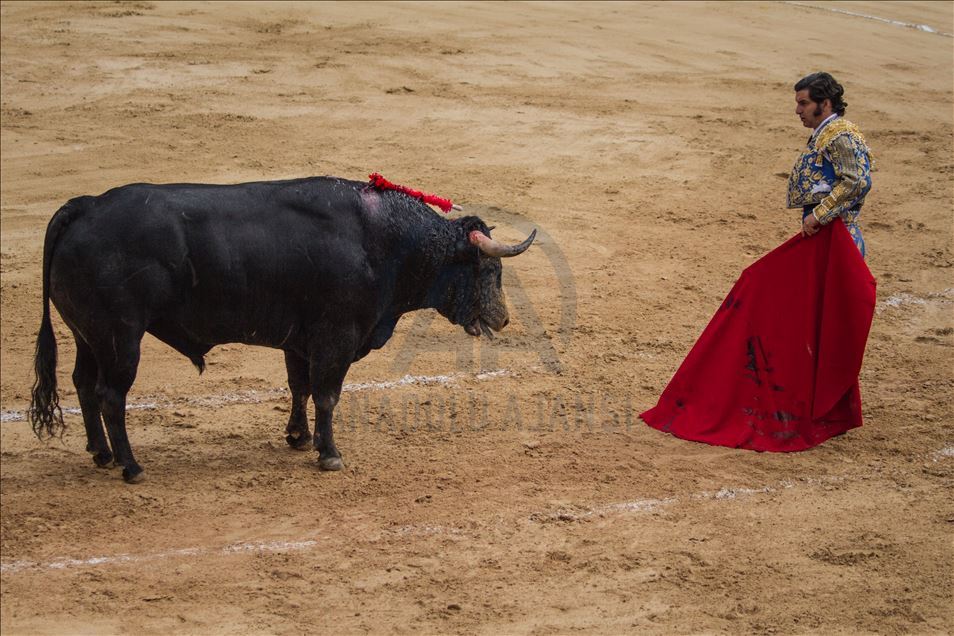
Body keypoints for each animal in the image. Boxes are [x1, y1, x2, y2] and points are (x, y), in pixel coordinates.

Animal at [27, 176, 536, 484]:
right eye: (489, 270)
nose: (502, 318)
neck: (385, 241)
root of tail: (84, 207)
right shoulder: (337, 337)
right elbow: (327, 393)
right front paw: (329, 454)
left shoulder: (301, 340)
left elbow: (300, 387)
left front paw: (298, 438)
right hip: (121, 338)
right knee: (111, 396)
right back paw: (131, 466)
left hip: (88, 335)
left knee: (83, 384)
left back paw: (100, 453)